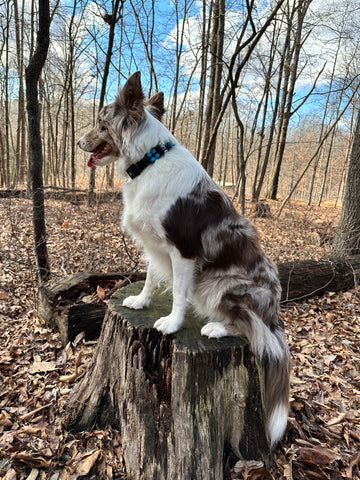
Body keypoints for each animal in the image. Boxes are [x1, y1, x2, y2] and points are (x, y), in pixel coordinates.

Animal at [78, 71, 290, 446]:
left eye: (101, 124)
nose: (77, 142)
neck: (149, 160)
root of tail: (274, 311)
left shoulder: (183, 251)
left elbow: (178, 291)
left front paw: (172, 323)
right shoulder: (155, 245)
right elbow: (150, 277)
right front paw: (140, 301)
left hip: (222, 286)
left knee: (253, 331)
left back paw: (217, 327)